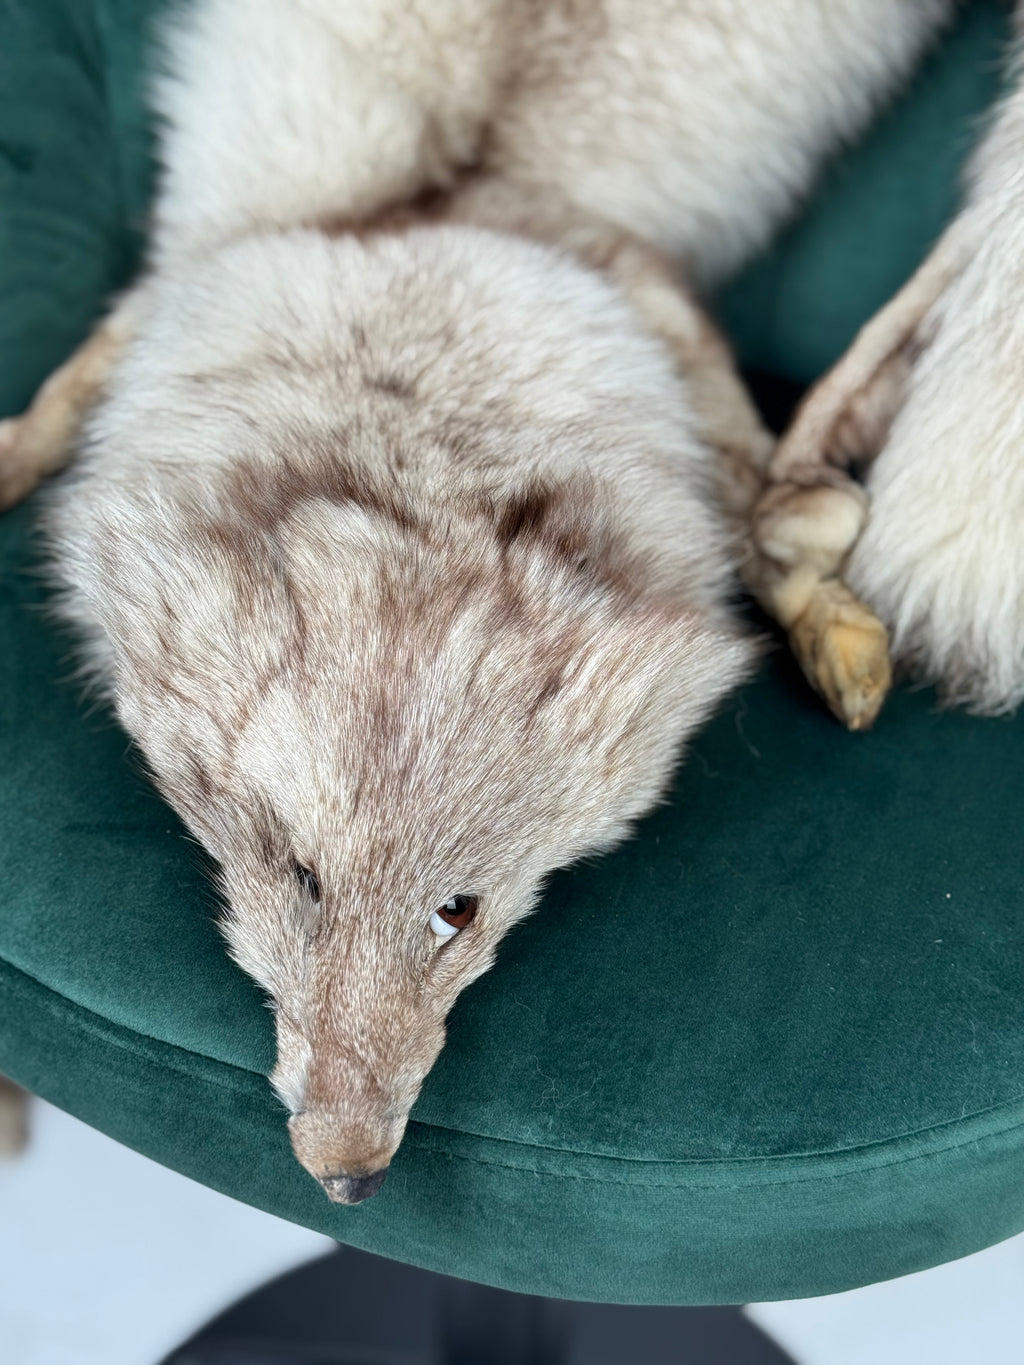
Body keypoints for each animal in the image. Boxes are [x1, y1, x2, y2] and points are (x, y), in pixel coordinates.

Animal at [0, 0, 981, 1200]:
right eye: (303, 879)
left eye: (456, 911)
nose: (348, 1180)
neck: (416, 437)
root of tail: (442, 191)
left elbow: (771, 515)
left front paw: (826, 606)